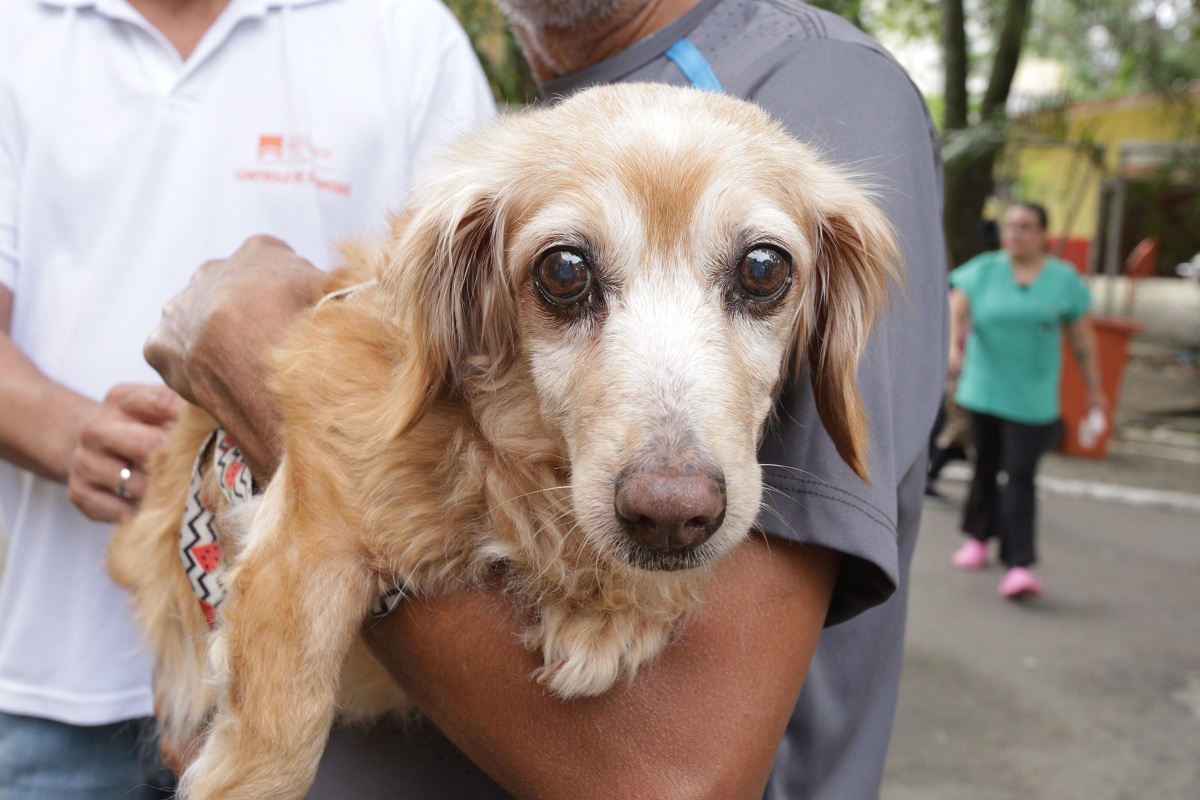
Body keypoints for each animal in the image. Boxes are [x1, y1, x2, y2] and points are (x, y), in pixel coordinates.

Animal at [112, 82, 897, 800]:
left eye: (764, 269)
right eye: (564, 270)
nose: (671, 513)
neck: (510, 468)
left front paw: (611, 613)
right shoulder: (315, 503)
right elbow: (277, 738)